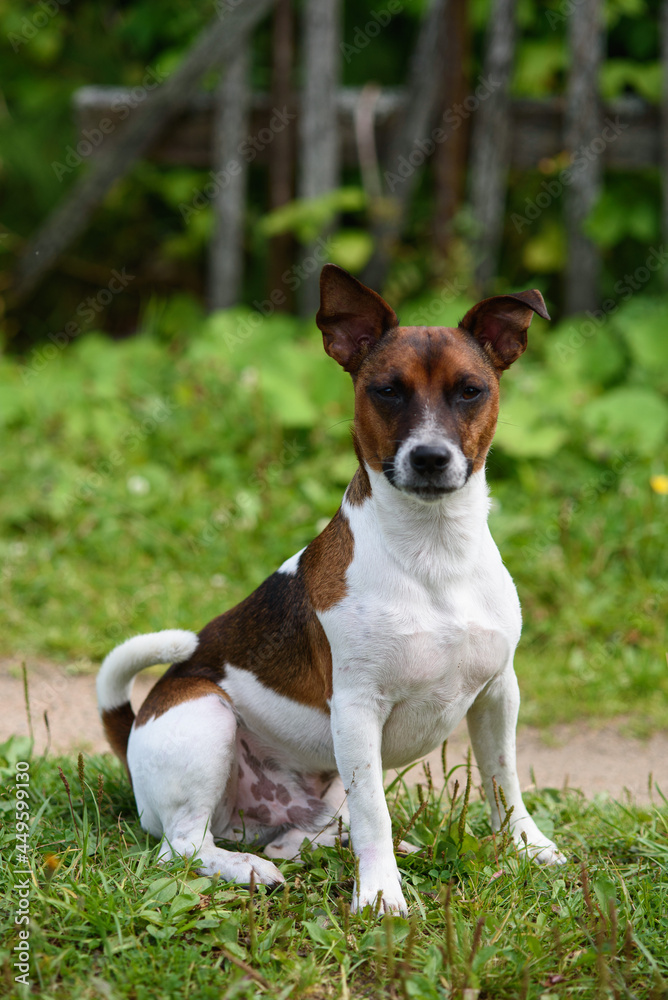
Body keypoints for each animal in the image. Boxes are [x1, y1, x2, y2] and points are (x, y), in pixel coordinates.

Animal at [98, 264, 564, 916]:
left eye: (470, 390)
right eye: (386, 391)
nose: (429, 457)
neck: (433, 551)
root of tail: (133, 733)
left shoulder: (498, 693)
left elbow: (504, 782)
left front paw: (528, 848)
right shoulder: (357, 711)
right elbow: (376, 814)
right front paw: (381, 895)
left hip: (315, 787)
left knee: (302, 834)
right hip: (206, 715)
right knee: (184, 846)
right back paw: (247, 868)